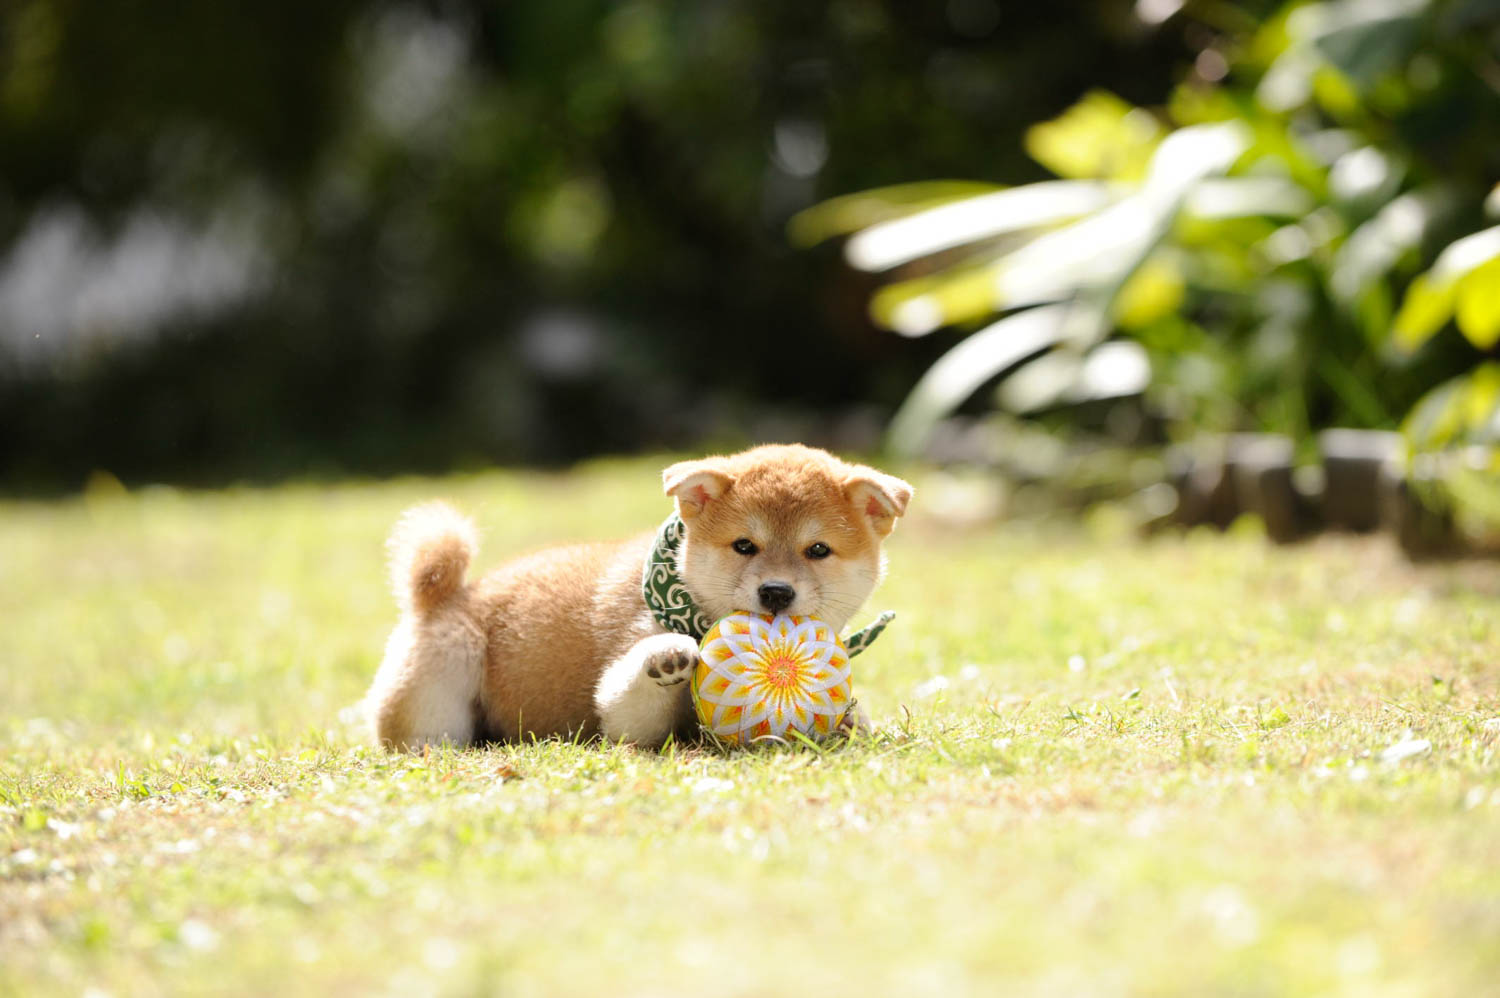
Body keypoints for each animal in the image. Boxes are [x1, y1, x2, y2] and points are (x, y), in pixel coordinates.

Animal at [366, 444, 900, 747]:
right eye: (744, 545)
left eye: (818, 550)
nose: (775, 592)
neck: (692, 604)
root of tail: (441, 598)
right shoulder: (627, 711)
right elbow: (630, 698)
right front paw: (666, 656)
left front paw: (853, 721)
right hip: (448, 663)